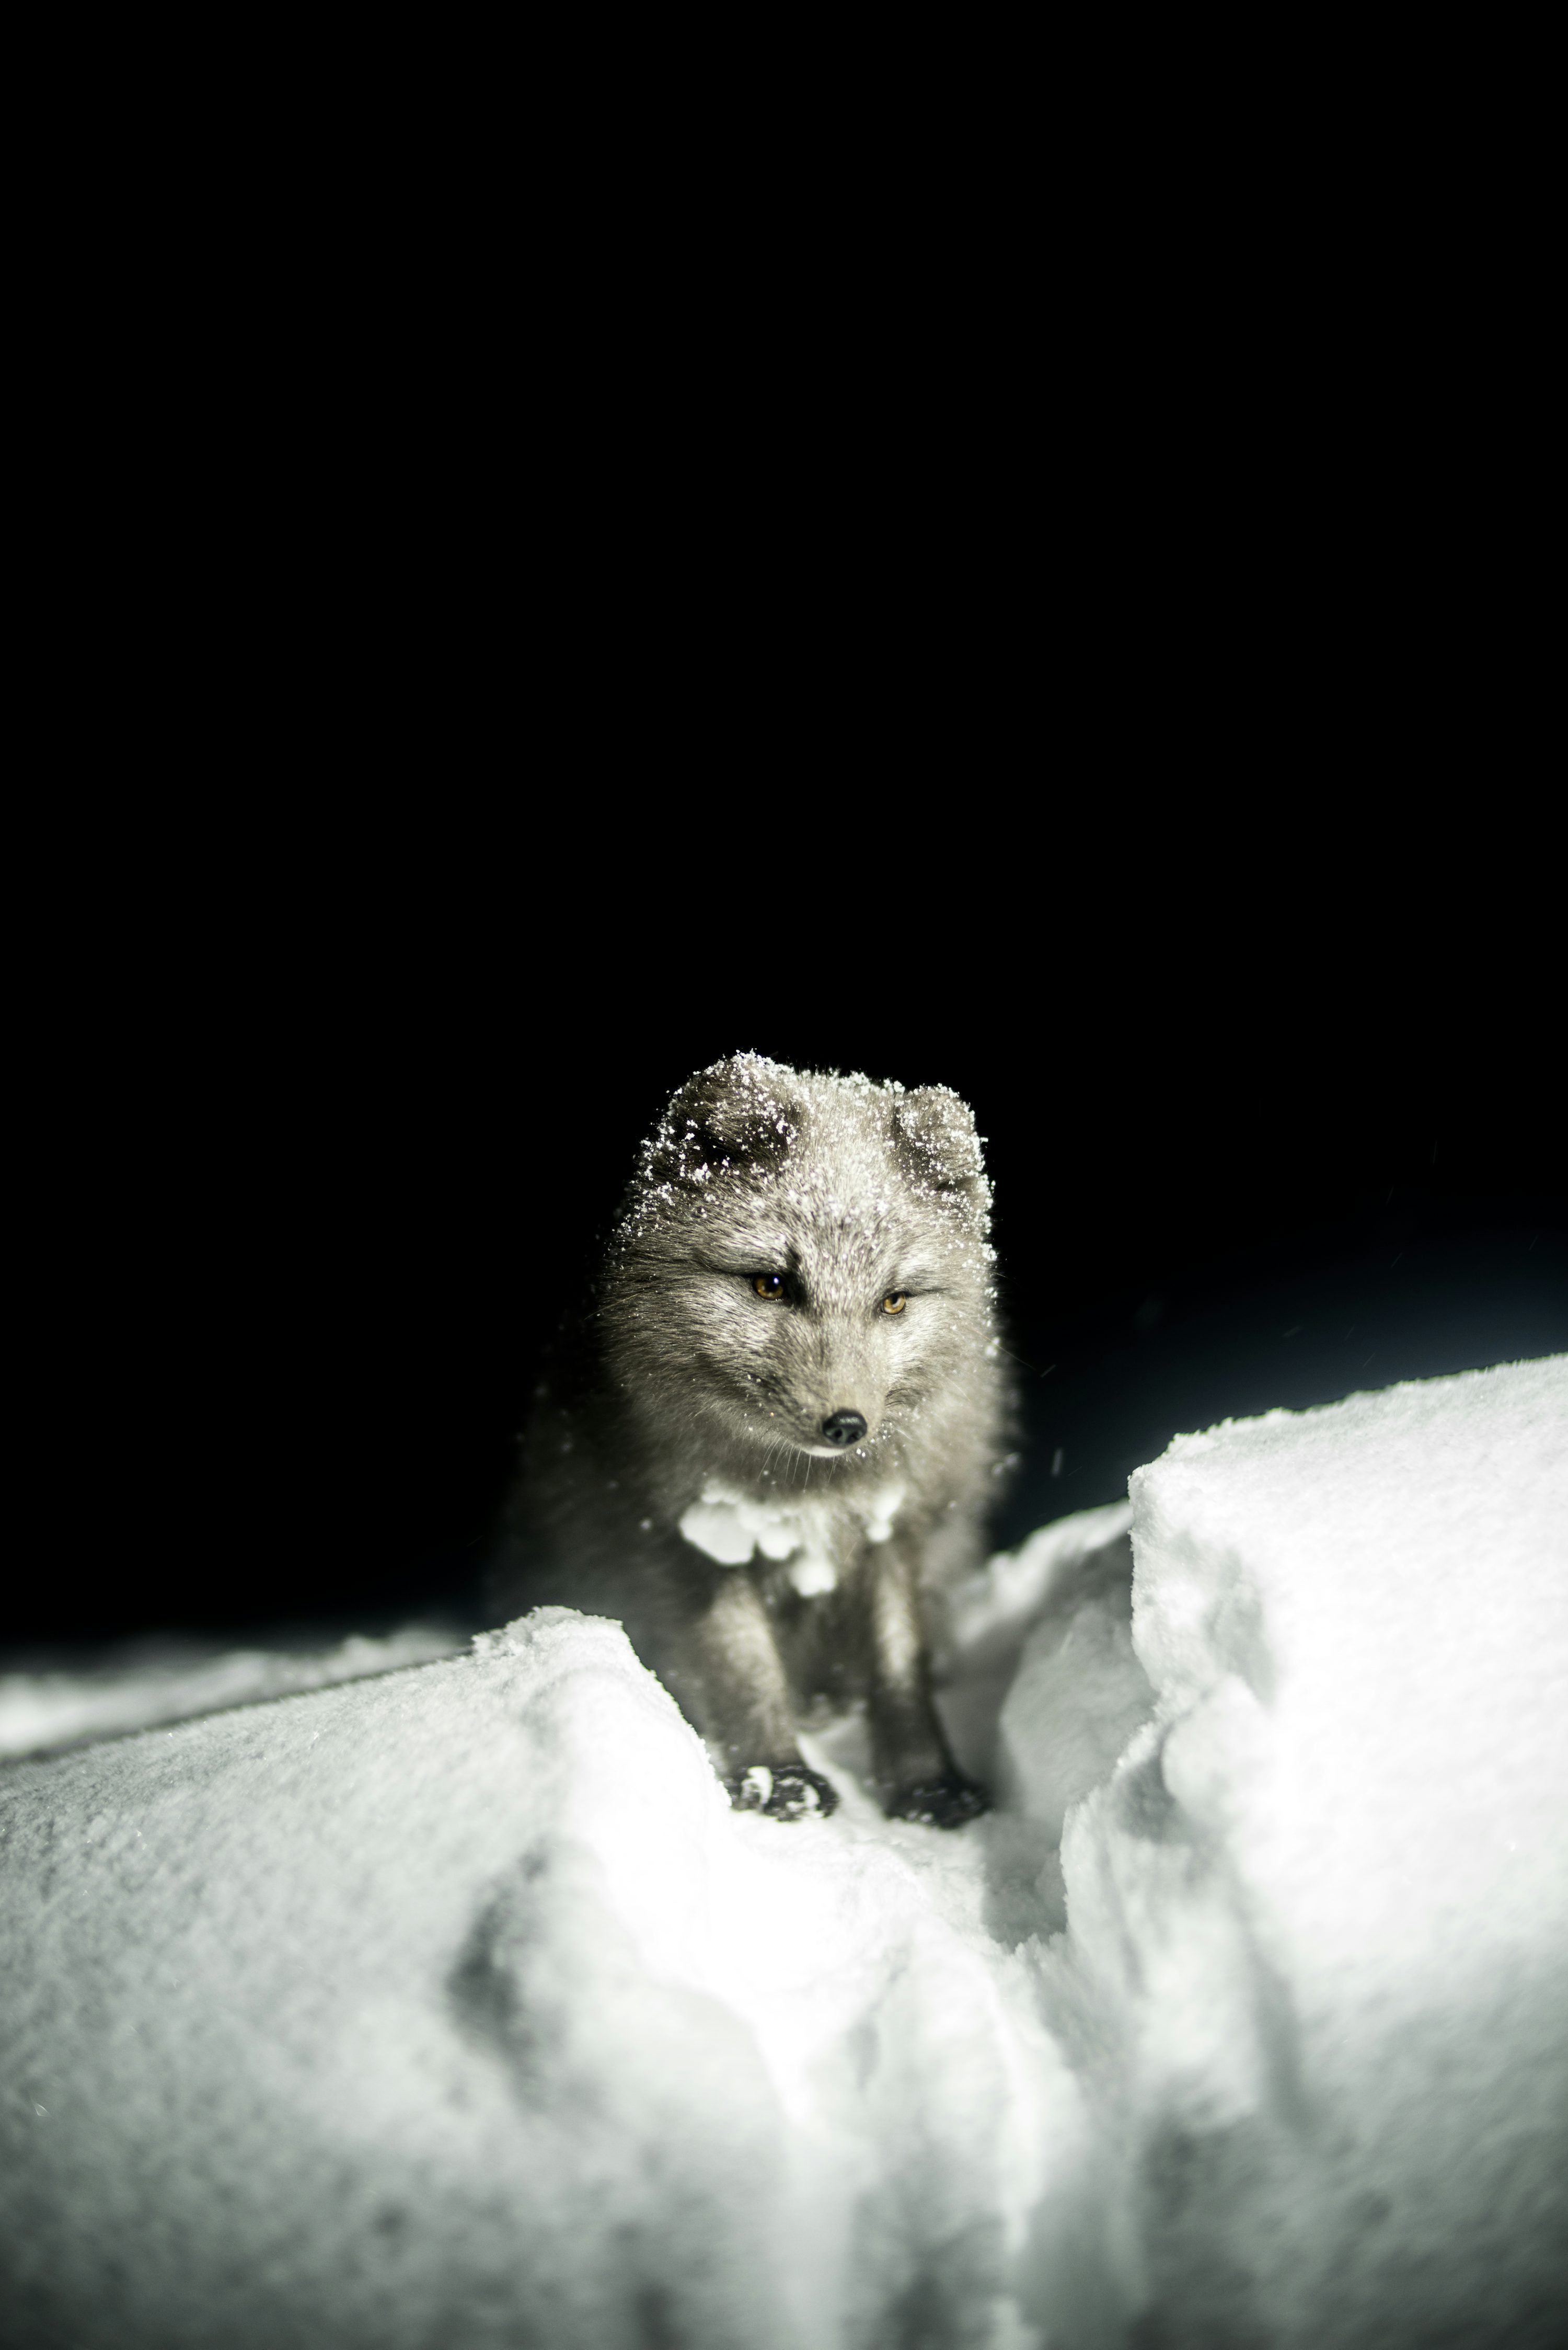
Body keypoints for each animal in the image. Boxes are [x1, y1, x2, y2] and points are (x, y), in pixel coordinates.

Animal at [487, 1053, 1012, 1826]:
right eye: (771, 1283)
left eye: (894, 1300)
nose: (846, 1424)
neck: (805, 1490)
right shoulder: (684, 1540)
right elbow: (743, 1664)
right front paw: (776, 1776)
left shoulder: (897, 1529)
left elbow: (900, 1666)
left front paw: (928, 1783)